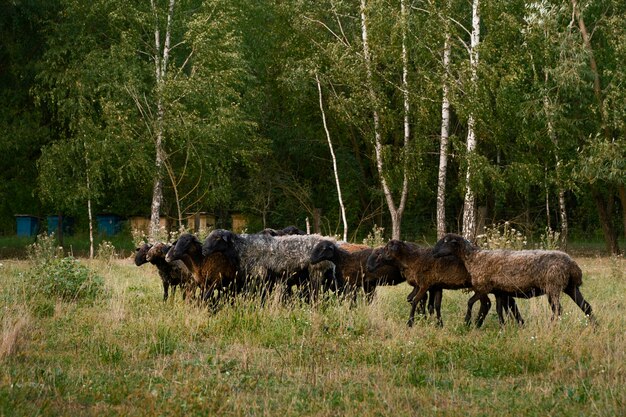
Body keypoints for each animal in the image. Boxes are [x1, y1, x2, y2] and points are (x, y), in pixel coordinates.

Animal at [432, 232, 592, 324]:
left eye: (445, 242)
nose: (433, 253)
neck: (473, 258)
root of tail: (572, 265)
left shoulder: (483, 287)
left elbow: (472, 302)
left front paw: (468, 322)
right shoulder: (499, 291)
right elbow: (500, 309)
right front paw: (503, 326)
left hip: (553, 287)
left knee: (557, 310)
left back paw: (550, 326)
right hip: (570, 287)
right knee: (586, 306)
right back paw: (594, 328)